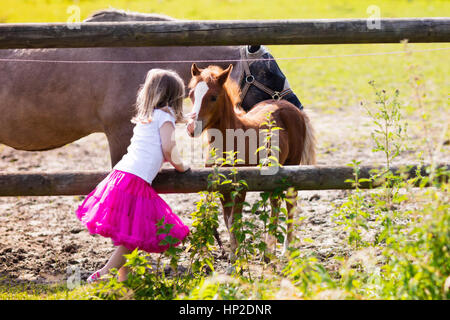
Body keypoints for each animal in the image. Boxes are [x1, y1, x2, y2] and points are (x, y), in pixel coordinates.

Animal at [187, 63, 316, 258]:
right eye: (191, 94)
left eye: (213, 97)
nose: (191, 128)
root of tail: (291, 106)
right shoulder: (222, 189)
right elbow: (228, 219)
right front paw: (236, 254)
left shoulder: (241, 187)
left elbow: (235, 219)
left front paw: (236, 257)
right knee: (275, 203)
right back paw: (268, 250)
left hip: (291, 166)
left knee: (290, 203)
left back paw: (285, 249)